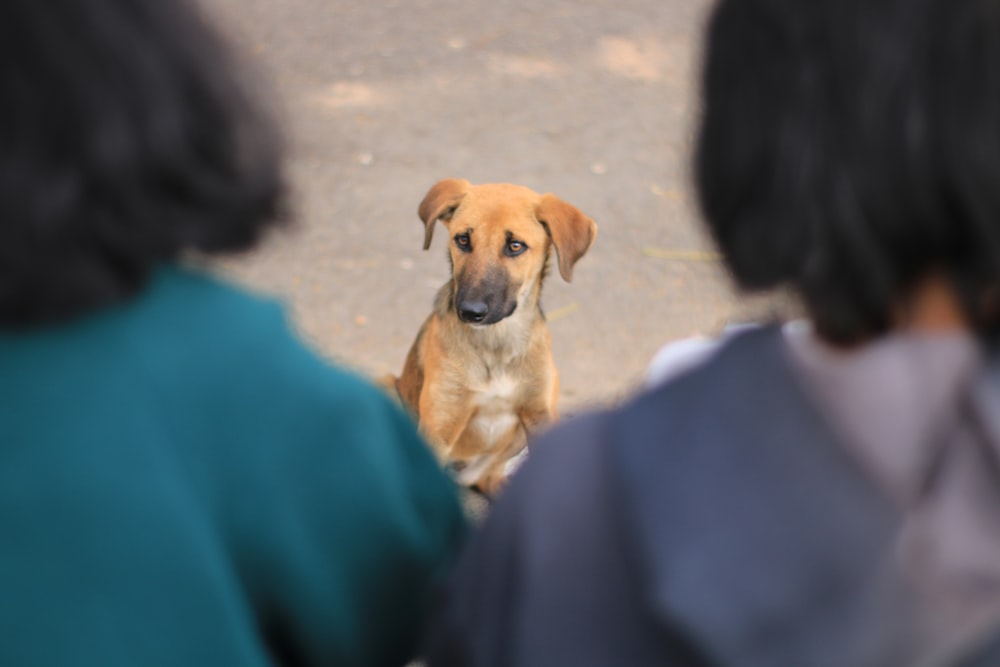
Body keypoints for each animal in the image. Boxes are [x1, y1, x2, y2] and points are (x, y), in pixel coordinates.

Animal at [384, 179, 596, 496]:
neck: (496, 344)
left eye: (515, 246)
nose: (469, 312)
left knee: (489, 476)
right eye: (462, 240)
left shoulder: (540, 412)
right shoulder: (440, 424)